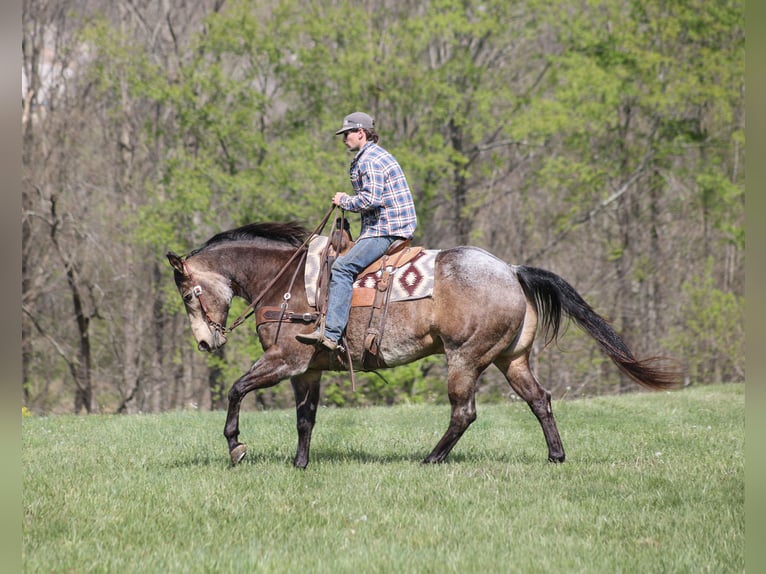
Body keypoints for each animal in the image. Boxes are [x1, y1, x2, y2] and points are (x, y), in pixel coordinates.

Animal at [166, 221, 680, 468]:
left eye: (189, 295)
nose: (205, 342)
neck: (289, 283)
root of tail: (511, 270)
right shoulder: (306, 371)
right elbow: (305, 419)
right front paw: (299, 464)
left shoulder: (283, 360)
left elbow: (236, 389)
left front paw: (236, 446)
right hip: (511, 359)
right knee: (540, 400)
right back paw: (555, 456)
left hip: (465, 358)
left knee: (464, 412)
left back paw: (431, 459)